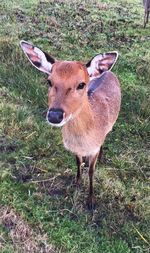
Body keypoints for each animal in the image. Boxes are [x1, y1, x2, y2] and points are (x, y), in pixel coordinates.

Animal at [19, 40, 121, 210]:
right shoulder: (74, 149)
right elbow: (78, 163)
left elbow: (92, 171)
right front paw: (77, 184)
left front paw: (91, 201)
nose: (54, 115)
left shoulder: (94, 146)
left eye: (81, 84)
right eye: (49, 81)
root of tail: (108, 72)